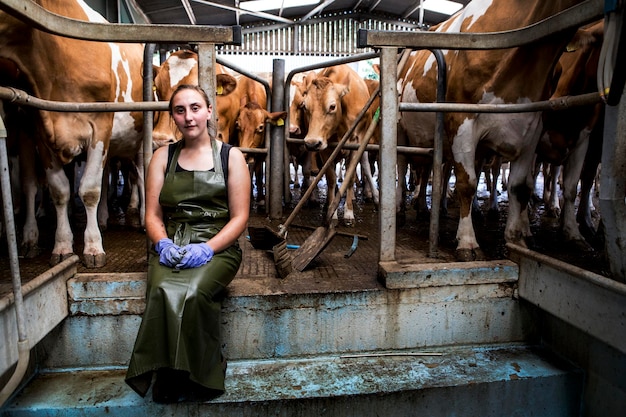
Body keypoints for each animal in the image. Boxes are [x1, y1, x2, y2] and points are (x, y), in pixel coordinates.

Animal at [0, 0, 144, 266]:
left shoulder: (100, 127)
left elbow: (89, 190)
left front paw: (93, 247)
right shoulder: (41, 132)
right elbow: (59, 190)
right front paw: (63, 245)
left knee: (139, 175)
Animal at [302, 63, 378, 224]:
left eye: (332, 106)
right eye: (305, 106)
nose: (311, 143)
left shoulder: (355, 144)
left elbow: (350, 177)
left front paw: (349, 213)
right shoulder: (324, 148)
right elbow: (331, 179)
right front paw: (332, 212)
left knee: (366, 166)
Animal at [398, 0, 592, 260]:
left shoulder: (533, 128)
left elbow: (522, 187)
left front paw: (517, 240)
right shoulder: (462, 120)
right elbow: (467, 183)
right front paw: (467, 242)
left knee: (429, 167)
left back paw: (422, 208)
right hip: (400, 127)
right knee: (400, 165)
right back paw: (399, 210)